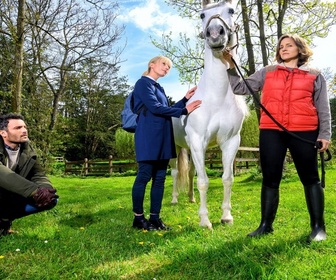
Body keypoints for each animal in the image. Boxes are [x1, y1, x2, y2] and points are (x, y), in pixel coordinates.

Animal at [172, 0, 248, 229]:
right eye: (202, 15)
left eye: (231, 10)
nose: (215, 34)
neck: (216, 98)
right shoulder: (198, 142)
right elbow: (204, 181)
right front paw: (205, 220)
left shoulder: (230, 142)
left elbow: (227, 178)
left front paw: (226, 216)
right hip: (175, 149)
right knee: (175, 172)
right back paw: (174, 199)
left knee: (189, 172)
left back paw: (190, 198)